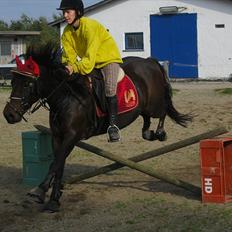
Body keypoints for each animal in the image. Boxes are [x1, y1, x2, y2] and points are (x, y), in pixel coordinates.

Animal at [3, 43, 192, 212]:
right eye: (12, 82)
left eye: (27, 84)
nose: (9, 115)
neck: (65, 97)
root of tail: (149, 61)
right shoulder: (57, 137)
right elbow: (59, 165)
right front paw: (54, 200)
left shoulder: (72, 136)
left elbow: (55, 164)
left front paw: (39, 191)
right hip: (142, 107)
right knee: (146, 122)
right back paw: (149, 133)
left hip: (153, 104)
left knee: (163, 110)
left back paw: (159, 132)